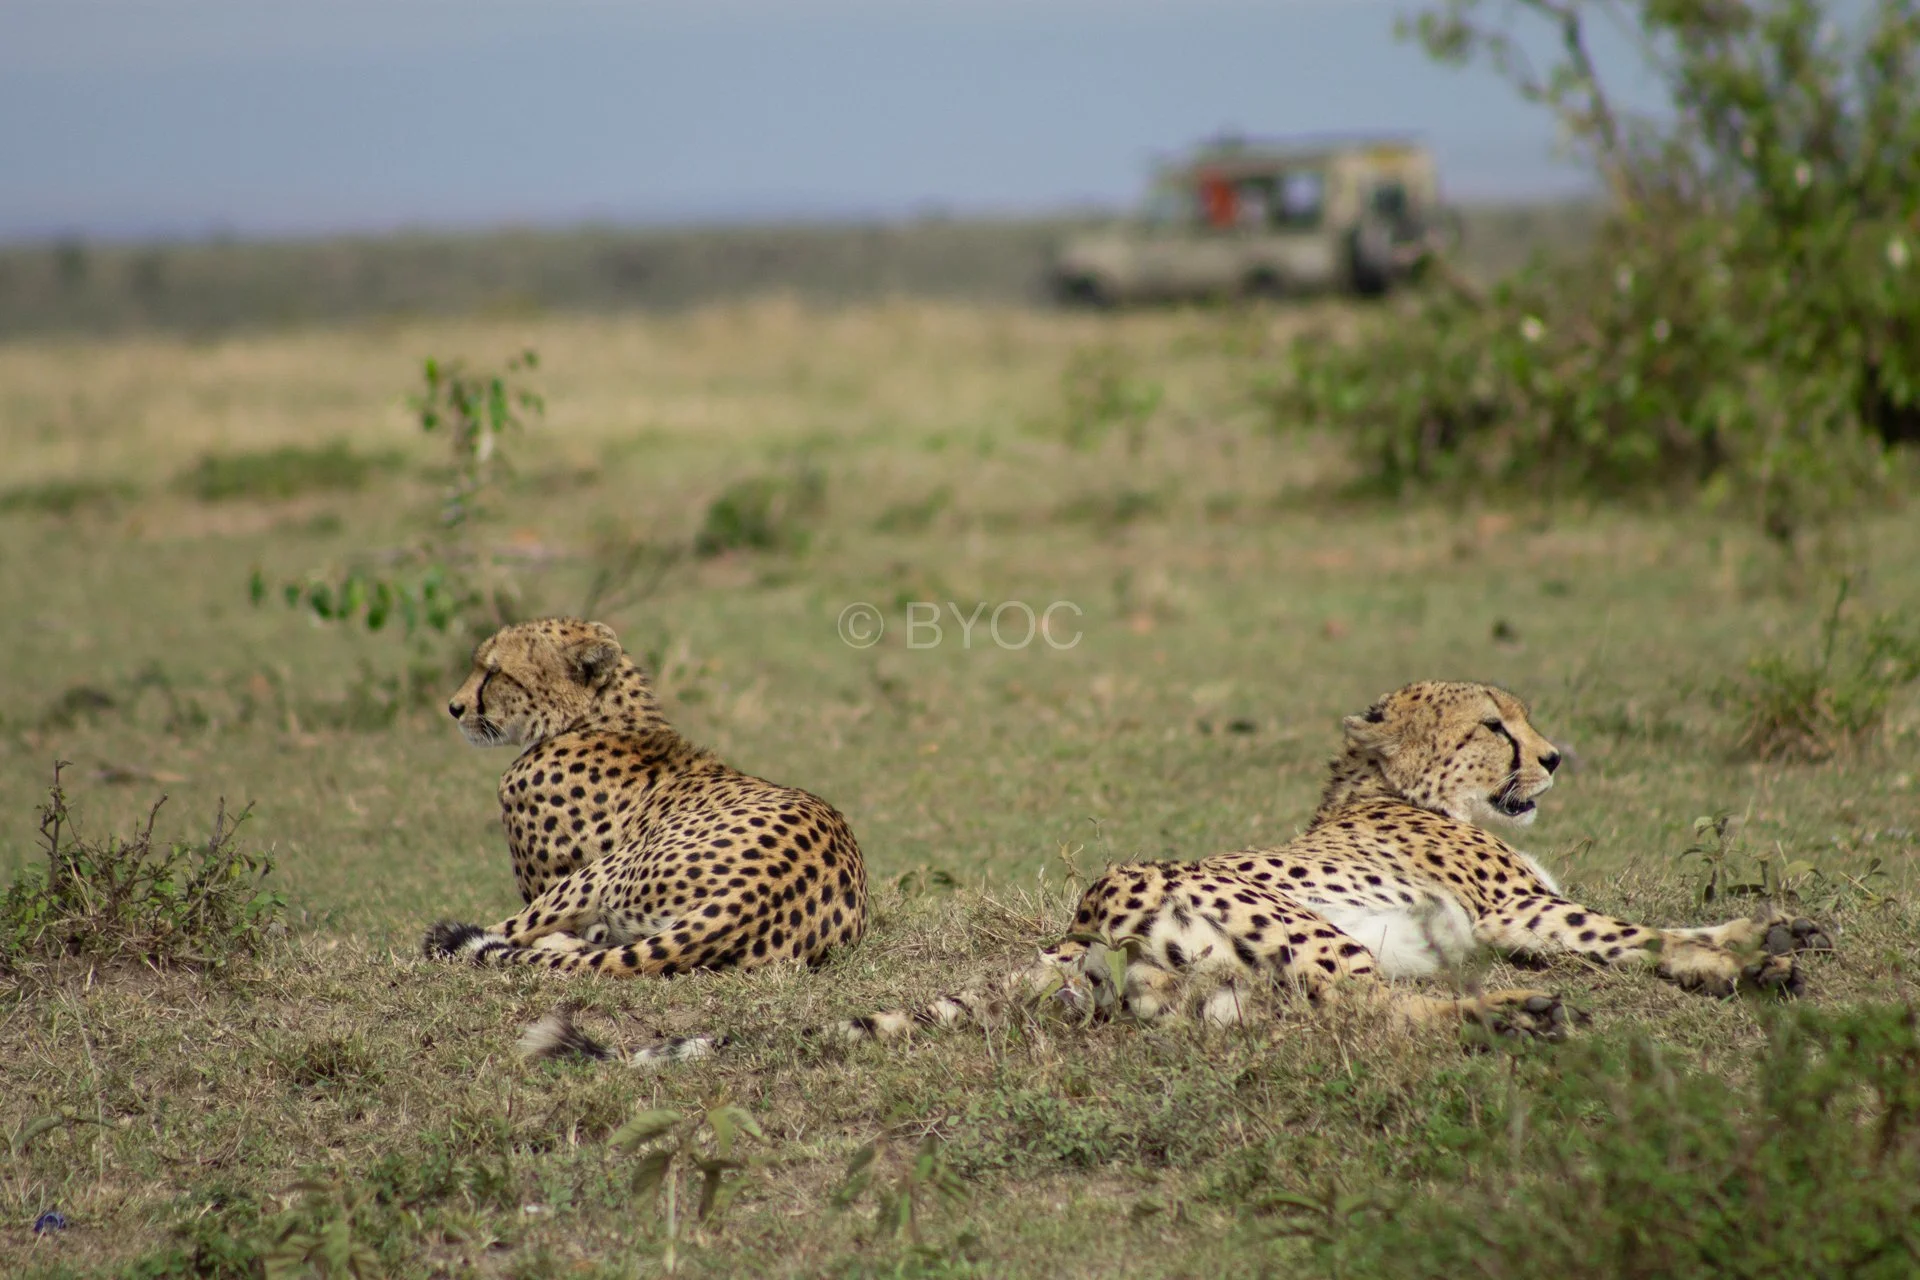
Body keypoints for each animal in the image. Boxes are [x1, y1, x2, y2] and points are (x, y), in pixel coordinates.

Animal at [421, 617, 868, 977]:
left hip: (600, 872)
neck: (598, 721)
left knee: (489, 935)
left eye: (494, 672)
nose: (454, 708)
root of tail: (751, 896)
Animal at [519, 679, 1830, 1068]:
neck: (1398, 787)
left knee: (1318, 1018)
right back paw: (1513, 1012)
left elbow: (1655, 930)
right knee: (1371, 1009)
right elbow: (1633, 929)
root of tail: (1083, 909)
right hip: (1302, 925)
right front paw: (1745, 948)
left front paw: (1764, 944)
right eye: (1495, 724)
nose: (1556, 756)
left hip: (1213, 985)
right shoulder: (1519, 909)